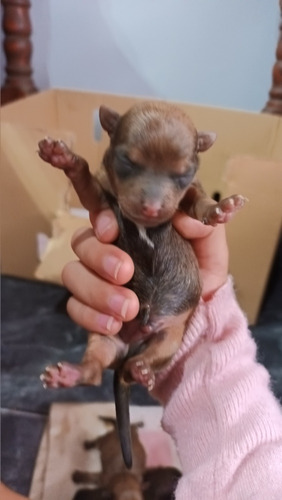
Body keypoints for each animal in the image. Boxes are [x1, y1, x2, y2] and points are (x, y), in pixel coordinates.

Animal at [38, 99, 247, 466]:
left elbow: (198, 201)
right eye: (127, 161)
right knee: (95, 368)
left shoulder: (189, 195)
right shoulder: (103, 201)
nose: (150, 208)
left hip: (169, 341)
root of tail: (133, 345)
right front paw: (65, 158)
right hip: (105, 338)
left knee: (144, 361)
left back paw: (141, 371)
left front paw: (220, 209)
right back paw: (74, 374)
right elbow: (87, 185)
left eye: (182, 173)